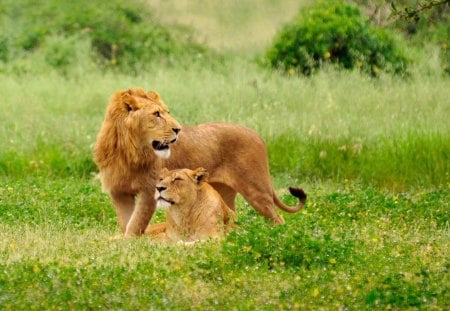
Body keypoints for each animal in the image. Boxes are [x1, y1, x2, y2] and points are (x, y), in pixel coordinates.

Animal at [94, 88, 306, 236]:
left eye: (166, 112)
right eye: (156, 114)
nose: (178, 129)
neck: (127, 151)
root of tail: (257, 135)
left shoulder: (149, 191)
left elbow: (136, 224)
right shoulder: (118, 192)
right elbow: (126, 223)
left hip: (257, 190)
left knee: (278, 218)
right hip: (224, 192)